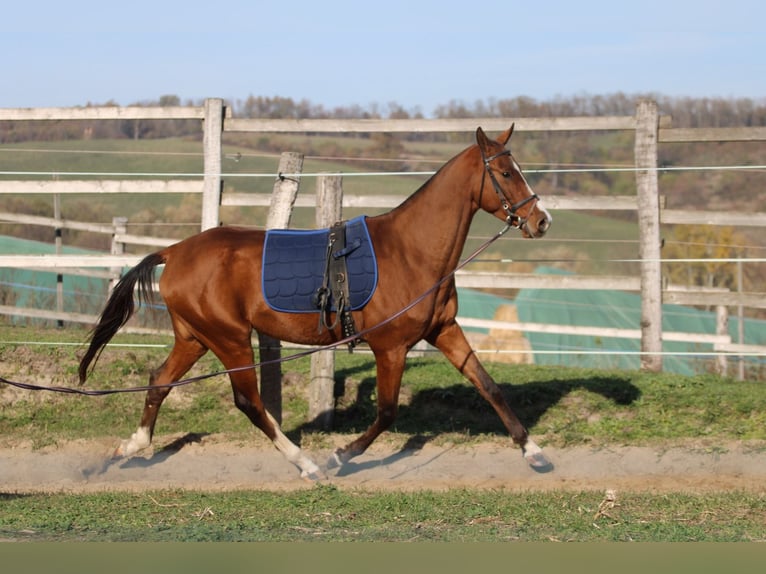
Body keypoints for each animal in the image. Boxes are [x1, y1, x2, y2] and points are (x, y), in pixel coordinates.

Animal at [79, 125, 552, 482]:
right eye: (506, 172)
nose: (541, 220)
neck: (411, 252)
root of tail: (175, 251)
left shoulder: (444, 330)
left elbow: (488, 385)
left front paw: (534, 452)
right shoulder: (391, 347)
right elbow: (386, 412)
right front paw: (340, 455)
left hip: (194, 337)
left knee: (159, 382)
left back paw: (125, 449)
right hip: (229, 339)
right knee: (250, 403)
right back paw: (307, 464)